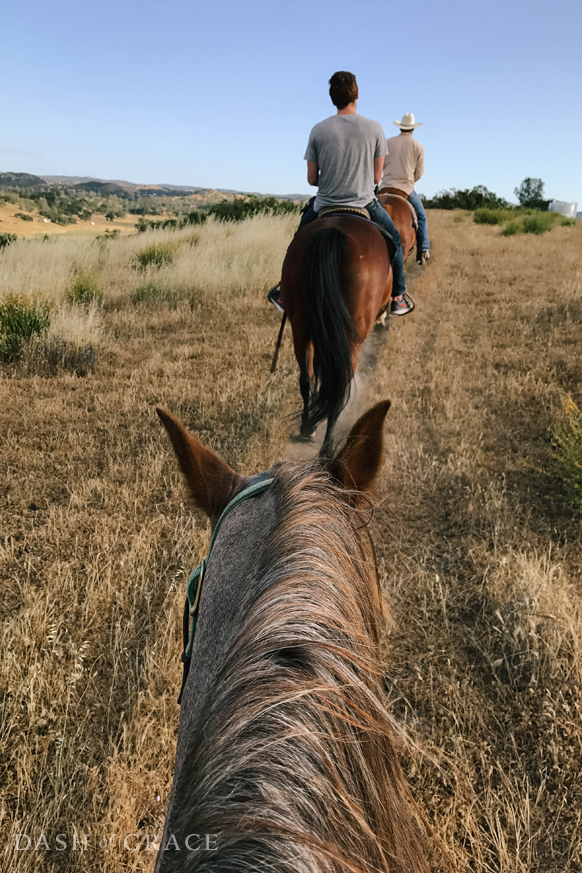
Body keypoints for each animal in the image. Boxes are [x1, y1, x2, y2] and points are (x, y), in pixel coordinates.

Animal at [282, 215, 392, 456]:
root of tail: (333, 232)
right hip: (351, 337)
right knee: (339, 388)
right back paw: (327, 447)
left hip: (301, 325)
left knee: (307, 378)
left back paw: (307, 427)